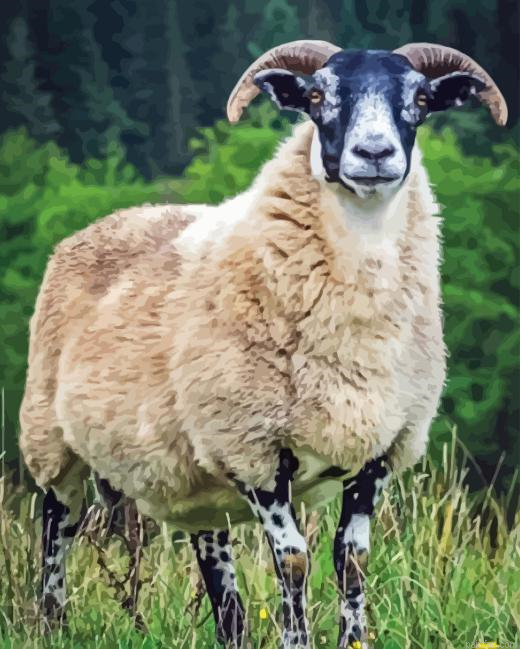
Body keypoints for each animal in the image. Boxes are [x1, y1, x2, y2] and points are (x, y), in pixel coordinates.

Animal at [19, 40, 507, 649]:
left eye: (419, 99)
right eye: (317, 96)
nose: (374, 153)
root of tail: (108, 221)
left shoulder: (379, 450)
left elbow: (352, 561)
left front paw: (353, 638)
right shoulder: (253, 451)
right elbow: (294, 562)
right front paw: (297, 640)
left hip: (200, 484)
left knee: (218, 575)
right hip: (52, 441)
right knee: (55, 532)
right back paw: (52, 623)